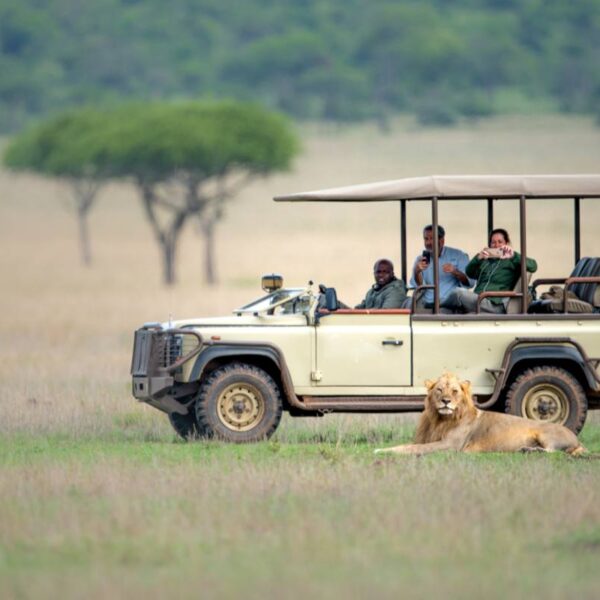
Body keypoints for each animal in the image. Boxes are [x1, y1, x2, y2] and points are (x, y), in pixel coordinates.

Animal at [376, 370, 584, 454]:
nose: (446, 401)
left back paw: (529, 451)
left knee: (552, 451)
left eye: (455, 391)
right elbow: (407, 445)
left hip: (545, 433)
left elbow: (413, 449)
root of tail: (576, 439)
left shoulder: (450, 445)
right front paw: (382, 449)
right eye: (439, 390)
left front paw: (381, 451)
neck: (440, 420)